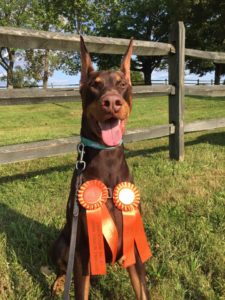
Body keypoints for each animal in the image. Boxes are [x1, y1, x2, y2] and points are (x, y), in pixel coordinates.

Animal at [50, 36, 150, 298]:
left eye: (122, 83)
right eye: (94, 85)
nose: (112, 102)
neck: (108, 160)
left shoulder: (134, 244)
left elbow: (142, 290)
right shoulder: (81, 253)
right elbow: (80, 288)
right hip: (64, 242)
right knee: (62, 268)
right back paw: (59, 283)